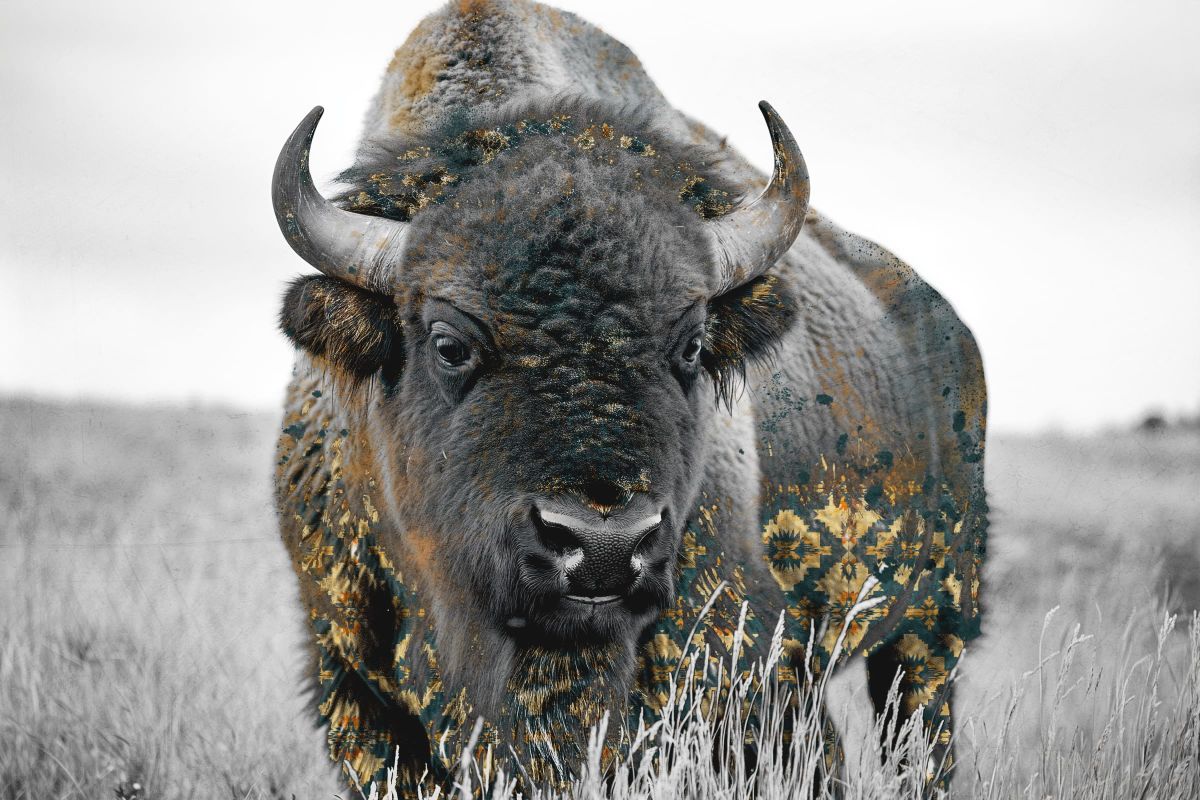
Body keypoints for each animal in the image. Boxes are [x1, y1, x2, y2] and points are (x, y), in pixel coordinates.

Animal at [272, 0, 987, 793]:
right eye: (449, 343)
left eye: (692, 345)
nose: (603, 547)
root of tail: (948, 325)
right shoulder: (358, 693)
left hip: (934, 629)